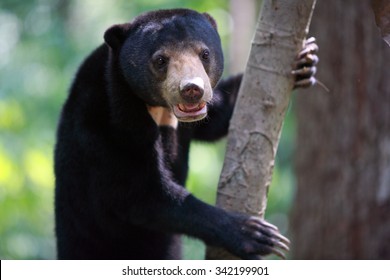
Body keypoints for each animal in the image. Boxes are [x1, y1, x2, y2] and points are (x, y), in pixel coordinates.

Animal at [54, 7, 316, 260]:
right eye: (160, 60)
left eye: (205, 54)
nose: (192, 89)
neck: (160, 110)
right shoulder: (105, 122)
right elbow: (140, 194)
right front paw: (256, 234)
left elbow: (217, 118)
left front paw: (306, 59)